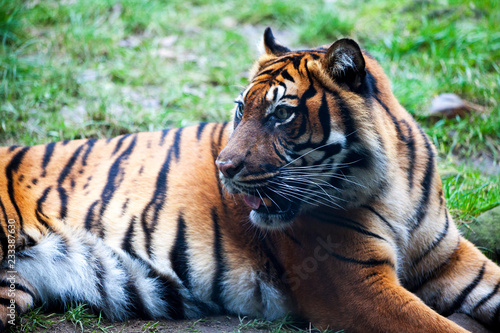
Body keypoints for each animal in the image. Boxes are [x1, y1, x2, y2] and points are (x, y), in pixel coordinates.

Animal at [0, 27, 500, 330]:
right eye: (242, 109)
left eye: (281, 114)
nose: (224, 167)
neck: (392, 184)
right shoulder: (356, 286)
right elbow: (437, 327)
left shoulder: (451, 258)